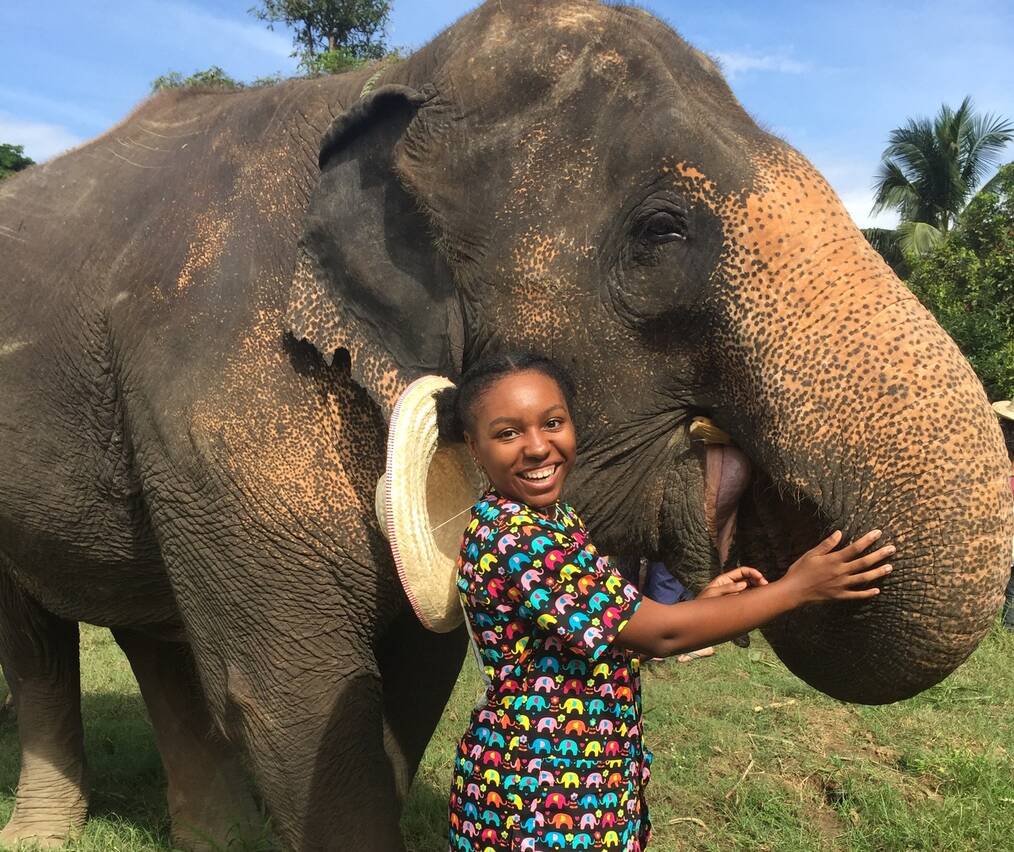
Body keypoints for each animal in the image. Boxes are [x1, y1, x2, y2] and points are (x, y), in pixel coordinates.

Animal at [0, 0, 1011, 849]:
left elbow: (415, 669)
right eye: (662, 232)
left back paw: (212, 839)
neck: (395, 83)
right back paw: (46, 836)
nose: (796, 527)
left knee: (148, 628)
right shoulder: (221, 391)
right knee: (43, 638)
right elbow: (292, 694)